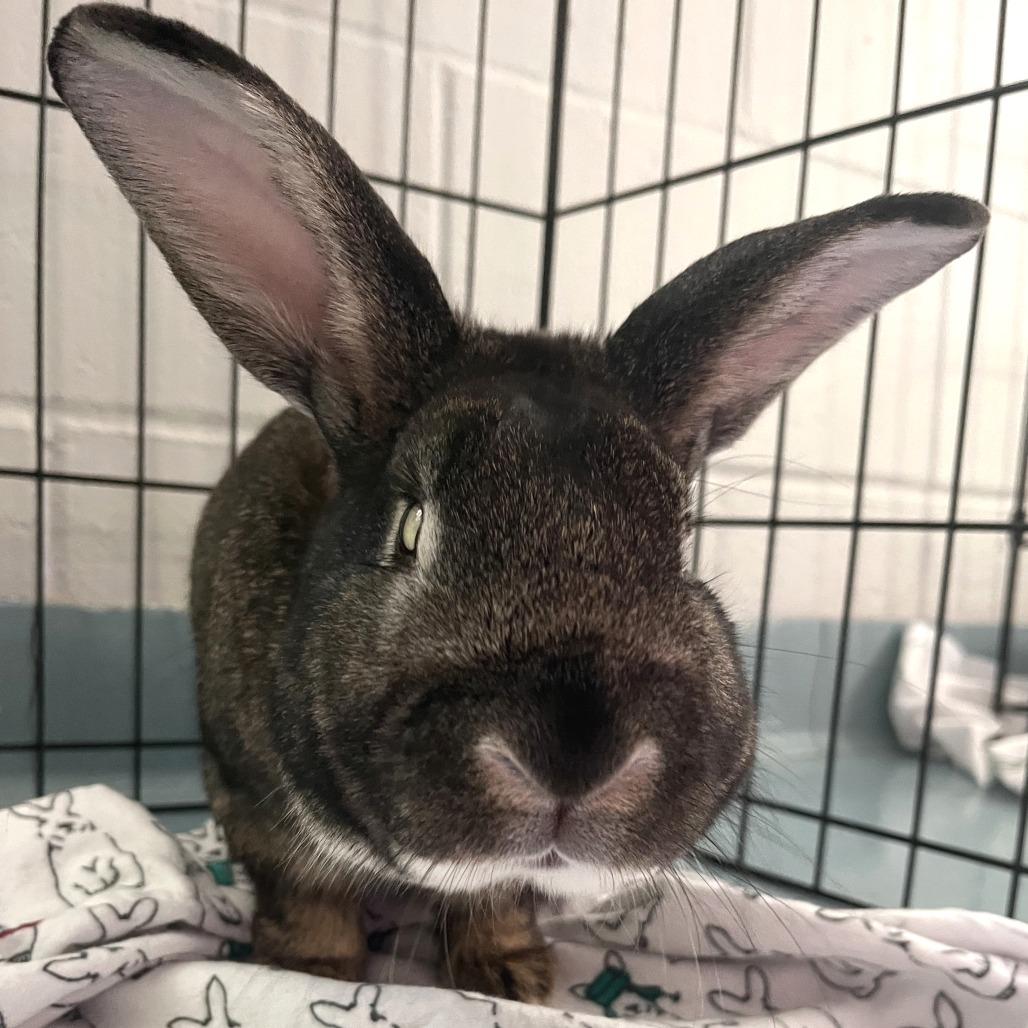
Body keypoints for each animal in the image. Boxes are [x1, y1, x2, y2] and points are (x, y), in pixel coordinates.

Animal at [47, 2, 988, 1004]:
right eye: (412, 526)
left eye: (679, 542)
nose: (575, 758)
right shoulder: (250, 796)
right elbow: (305, 892)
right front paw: (307, 969)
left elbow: (497, 896)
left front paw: (512, 976)